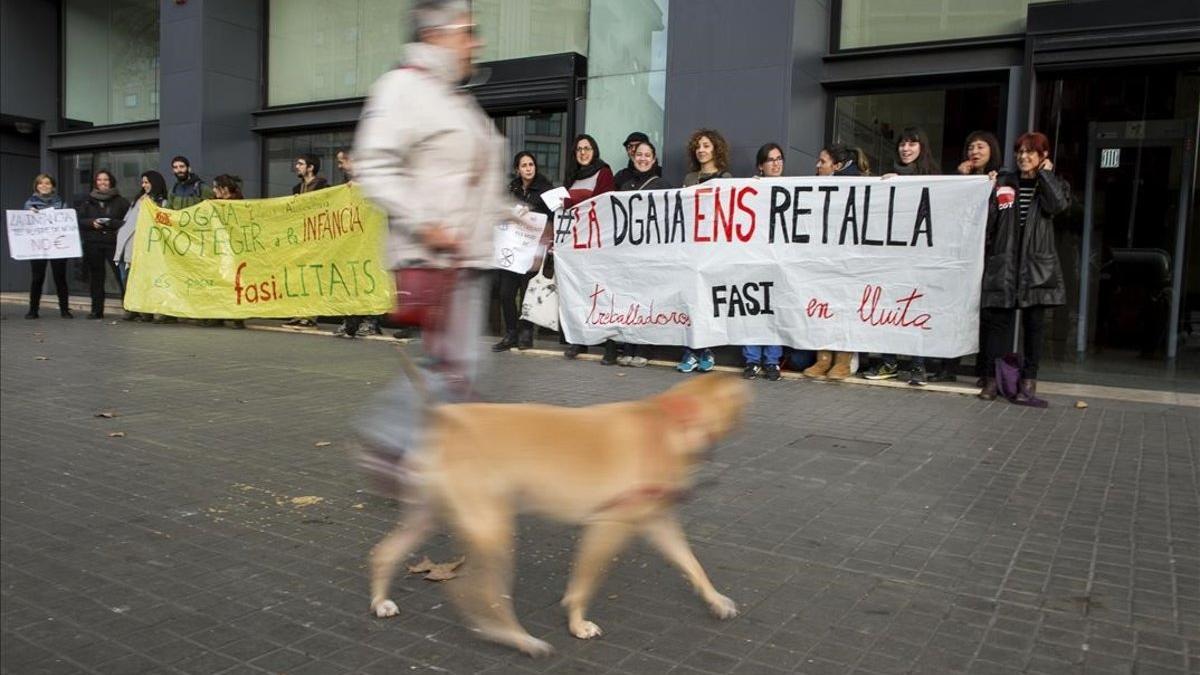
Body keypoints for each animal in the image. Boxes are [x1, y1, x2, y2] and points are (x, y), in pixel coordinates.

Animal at [369, 369, 748, 653]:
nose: (746, 376)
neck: (669, 421)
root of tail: (442, 418)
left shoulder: (657, 522)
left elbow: (692, 564)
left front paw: (714, 600)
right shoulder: (607, 527)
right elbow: (583, 585)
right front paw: (577, 623)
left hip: (428, 515)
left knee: (385, 553)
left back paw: (381, 601)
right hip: (492, 527)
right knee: (475, 591)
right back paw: (516, 637)